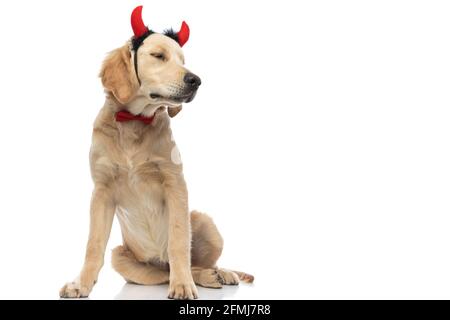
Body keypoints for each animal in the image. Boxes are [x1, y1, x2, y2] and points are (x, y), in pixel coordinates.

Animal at [59, 6, 253, 298]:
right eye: (159, 56)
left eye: (183, 60)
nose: (195, 80)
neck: (134, 121)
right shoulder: (101, 190)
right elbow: (93, 245)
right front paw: (80, 284)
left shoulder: (175, 184)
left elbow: (178, 241)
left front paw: (183, 284)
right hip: (123, 258)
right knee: (163, 274)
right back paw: (206, 276)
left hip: (203, 220)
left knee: (193, 262)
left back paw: (218, 273)